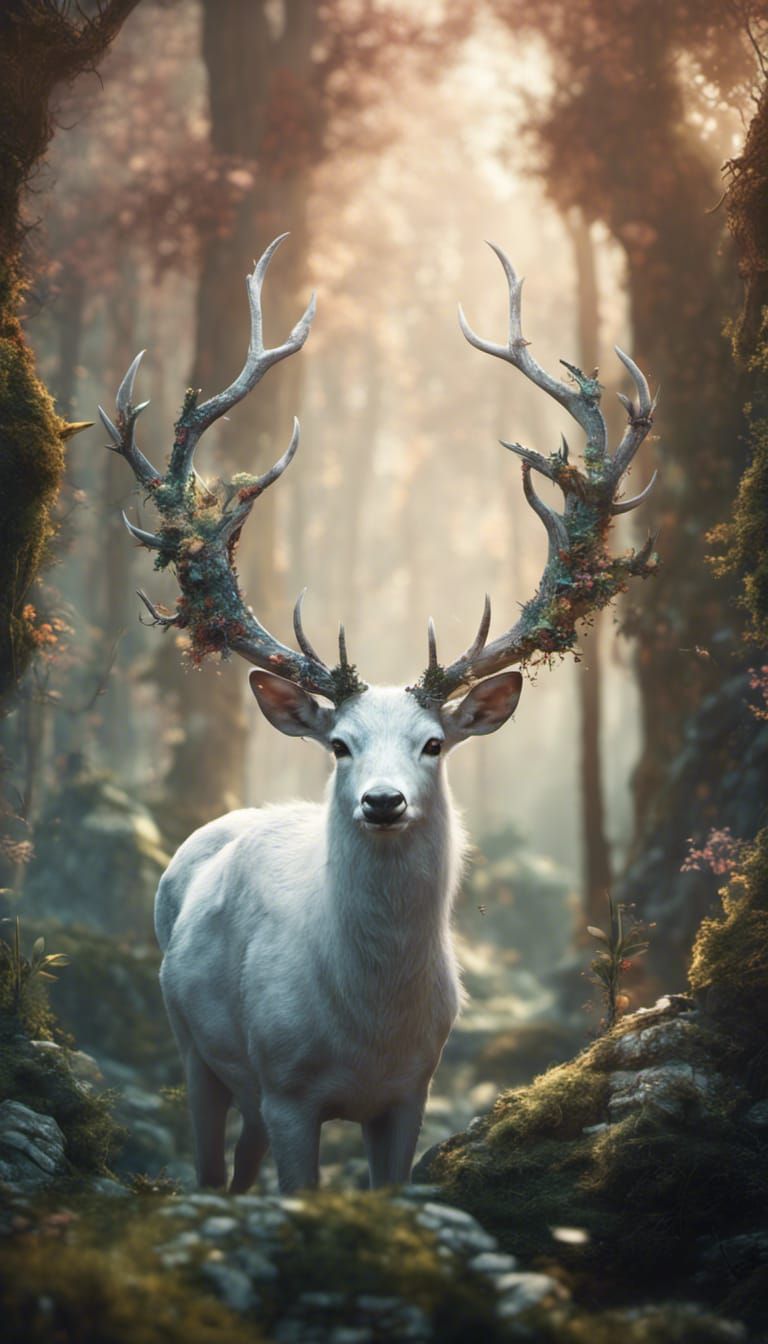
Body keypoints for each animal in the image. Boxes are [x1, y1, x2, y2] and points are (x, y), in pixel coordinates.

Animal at [100, 234, 658, 1194]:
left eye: (434, 744)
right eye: (339, 745)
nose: (384, 801)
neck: (367, 1032)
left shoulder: (413, 1093)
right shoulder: (289, 1088)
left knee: (239, 1165)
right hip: (195, 1046)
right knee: (211, 1159)